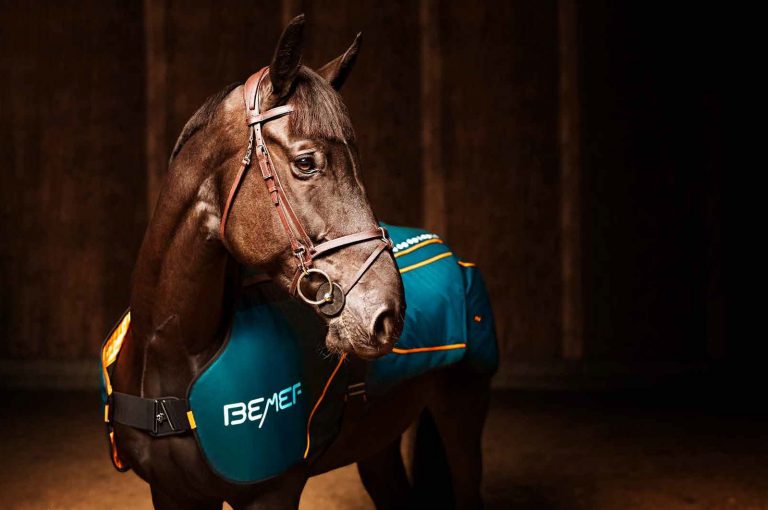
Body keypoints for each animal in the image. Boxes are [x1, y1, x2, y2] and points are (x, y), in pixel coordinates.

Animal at [107, 14, 493, 510]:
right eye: (307, 162)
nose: (388, 315)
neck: (174, 353)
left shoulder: (272, 493)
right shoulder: (173, 494)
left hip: (462, 411)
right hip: (378, 444)